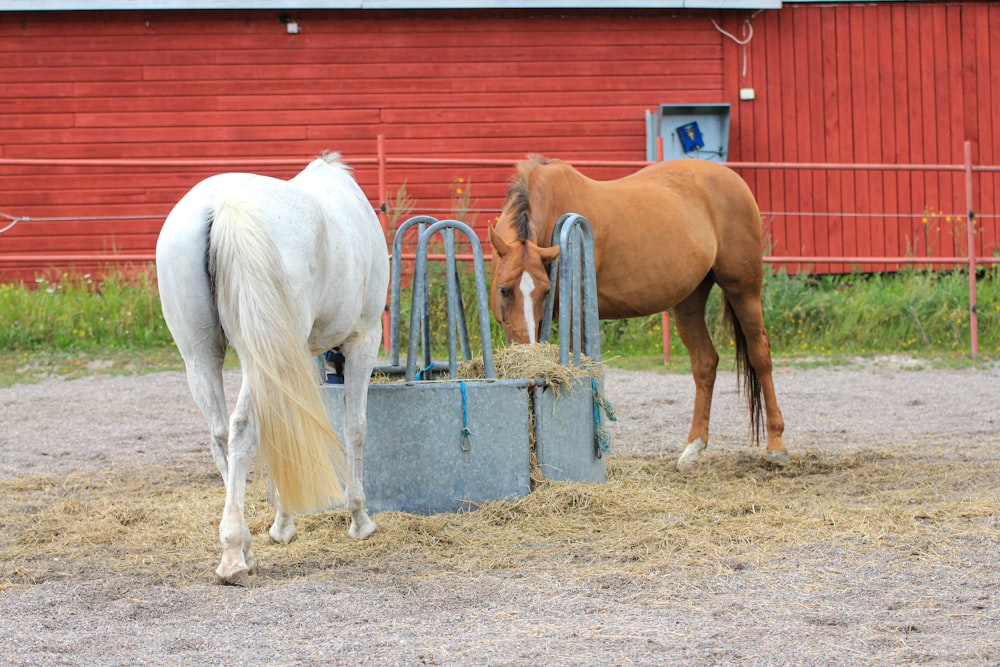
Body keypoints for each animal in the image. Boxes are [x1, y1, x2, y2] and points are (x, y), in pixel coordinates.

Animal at [156, 154, 390, 588]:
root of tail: (225, 205)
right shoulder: (364, 338)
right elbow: (354, 427)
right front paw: (359, 517)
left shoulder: (300, 353)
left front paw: (283, 525)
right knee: (243, 428)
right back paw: (234, 552)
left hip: (200, 355)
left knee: (221, 435)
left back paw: (244, 546)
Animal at [490, 156, 788, 470]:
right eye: (504, 290)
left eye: (545, 291)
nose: (525, 349)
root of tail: (733, 179)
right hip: (690, 300)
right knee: (705, 363)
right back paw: (692, 449)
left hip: (743, 289)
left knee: (760, 355)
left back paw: (776, 446)